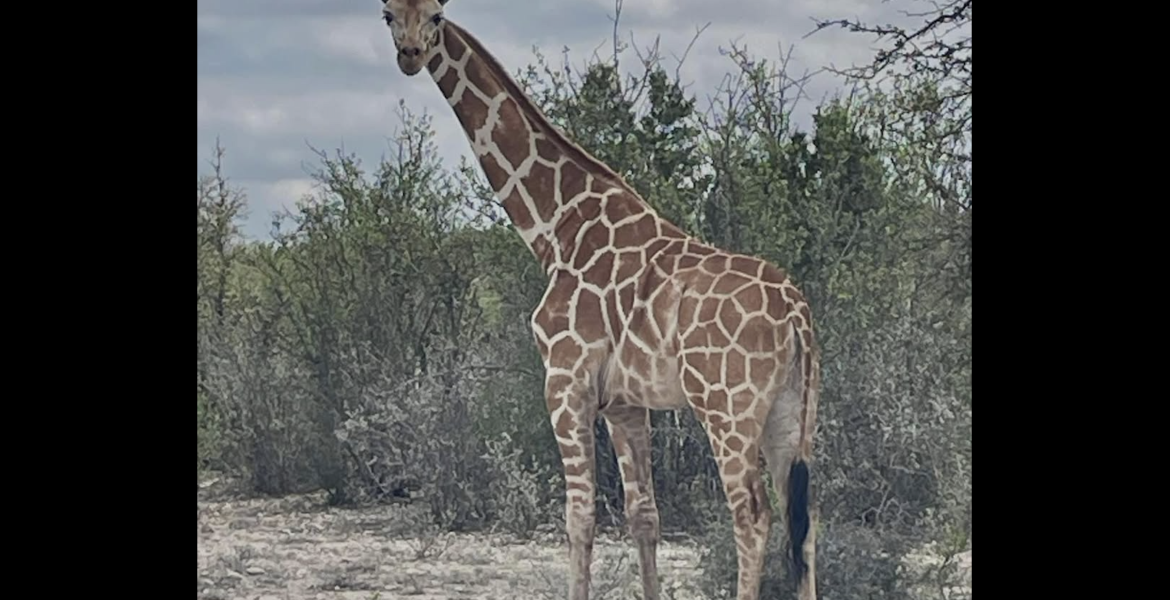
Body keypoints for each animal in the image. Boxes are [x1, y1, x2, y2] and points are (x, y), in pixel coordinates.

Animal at [378, 2, 820, 599]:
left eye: (437, 16)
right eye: (387, 14)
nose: (410, 55)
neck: (556, 227)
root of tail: (797, 313)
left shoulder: (566, 380)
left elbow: (580, 516)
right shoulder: (626, 402)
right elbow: (643, 515)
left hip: (727, 407)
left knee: (753, 516)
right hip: (792, 413)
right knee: (806, 519)